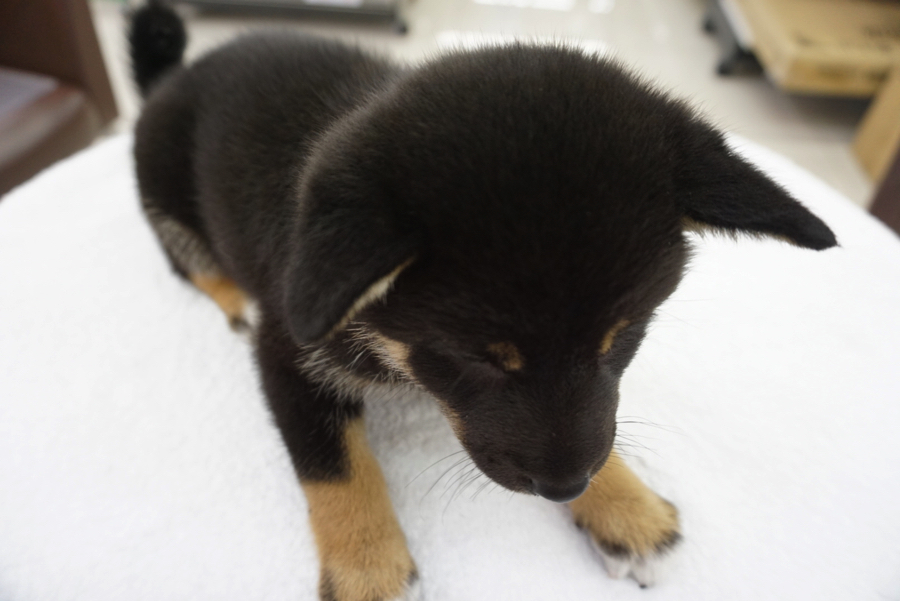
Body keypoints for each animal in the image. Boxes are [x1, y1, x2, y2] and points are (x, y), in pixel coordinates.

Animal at [126, 4, 836, 600]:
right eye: (480, 360)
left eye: (625, 337)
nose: (563, 489)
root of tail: (177, 73)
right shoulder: (287, 355)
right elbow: (335, 469)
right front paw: (368, 570)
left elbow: (598, 425)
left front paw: (623, 505)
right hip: (162, 193)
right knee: (186, 260)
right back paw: (230, 298)